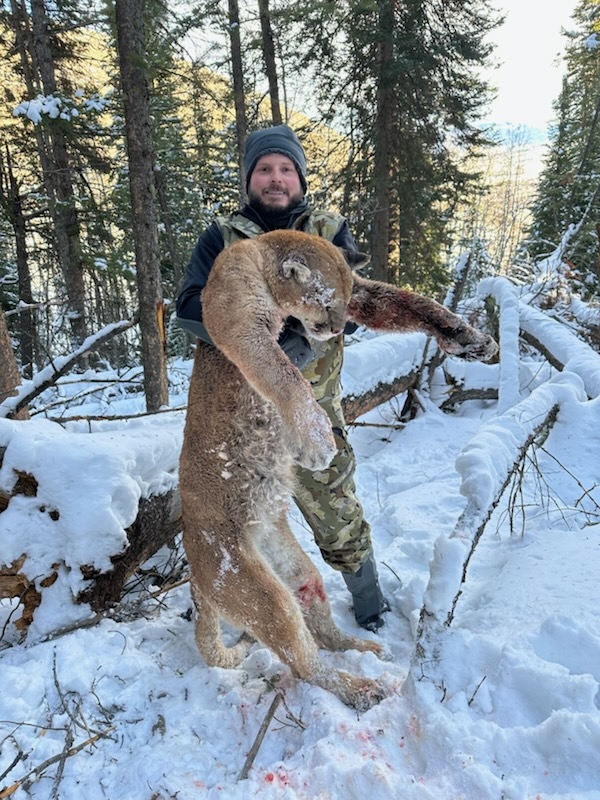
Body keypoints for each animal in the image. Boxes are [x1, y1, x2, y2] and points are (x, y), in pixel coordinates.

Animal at [179, 229, 497, 711]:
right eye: (325, 303)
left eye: (343, 305)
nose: (333, 327)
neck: (262, 254)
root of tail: (196, 577)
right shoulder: (237, 318)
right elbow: (282, 372)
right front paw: (315, 439)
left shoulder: (363, 290)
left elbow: (409, 302)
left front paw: (469, 338)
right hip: (252, 585)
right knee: (302, 661)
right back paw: (363, 689)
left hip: (295, 570)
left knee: (321, 628)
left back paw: (365, 648)